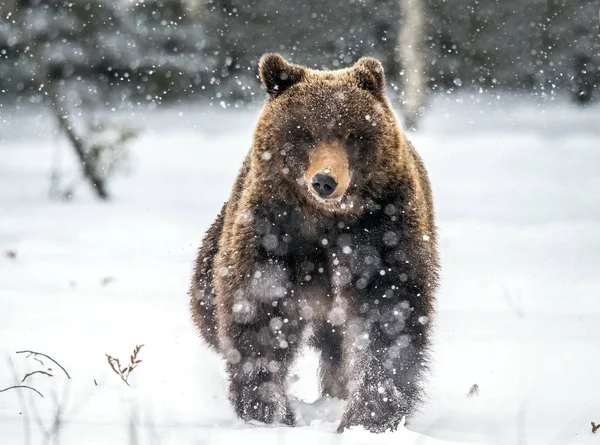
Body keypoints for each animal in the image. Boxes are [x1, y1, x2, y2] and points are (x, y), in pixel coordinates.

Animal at [190, 53, 438, 432]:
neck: (326, 222)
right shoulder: (273, 236)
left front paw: (367, 418)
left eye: (352, 134)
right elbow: (259, 315)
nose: (325, 180)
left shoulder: (382, 232)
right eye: (305, 133)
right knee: (206, 306)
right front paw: (269, 413)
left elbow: (390, 318)